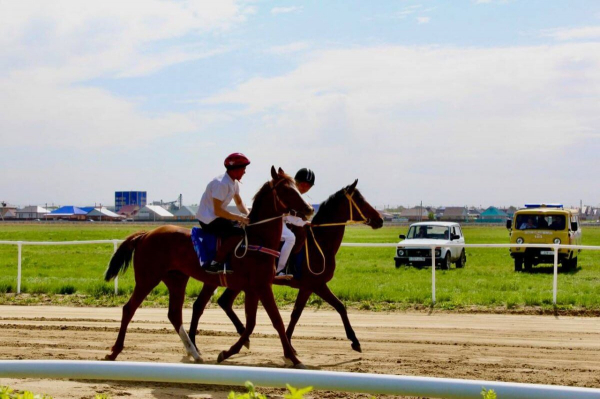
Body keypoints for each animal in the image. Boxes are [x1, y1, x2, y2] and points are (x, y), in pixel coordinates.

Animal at [103, 166, 314, 368]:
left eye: (296, 186)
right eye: (286, 189)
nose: (309, 209)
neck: (258, 240)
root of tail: (145, 234)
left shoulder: (254, 288)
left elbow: (252, 324)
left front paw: (228, 352)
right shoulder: (261, 287)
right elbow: (275, 321)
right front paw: (294, 358)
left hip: (176, 279)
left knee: (175, 314)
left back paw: (195, 353)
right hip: (148, 278)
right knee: (129, 309)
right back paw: (114, 351)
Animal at [189, 180, 384, 354]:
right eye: (360, 200)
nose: (380, 219)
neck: (319, 243)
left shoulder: (312, 286)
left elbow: (334, 307)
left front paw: (288, 344)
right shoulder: (313, 285)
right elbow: (304, 312)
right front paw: (354, 340)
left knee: (223, 302)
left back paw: (242, 337)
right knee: (209, 304)